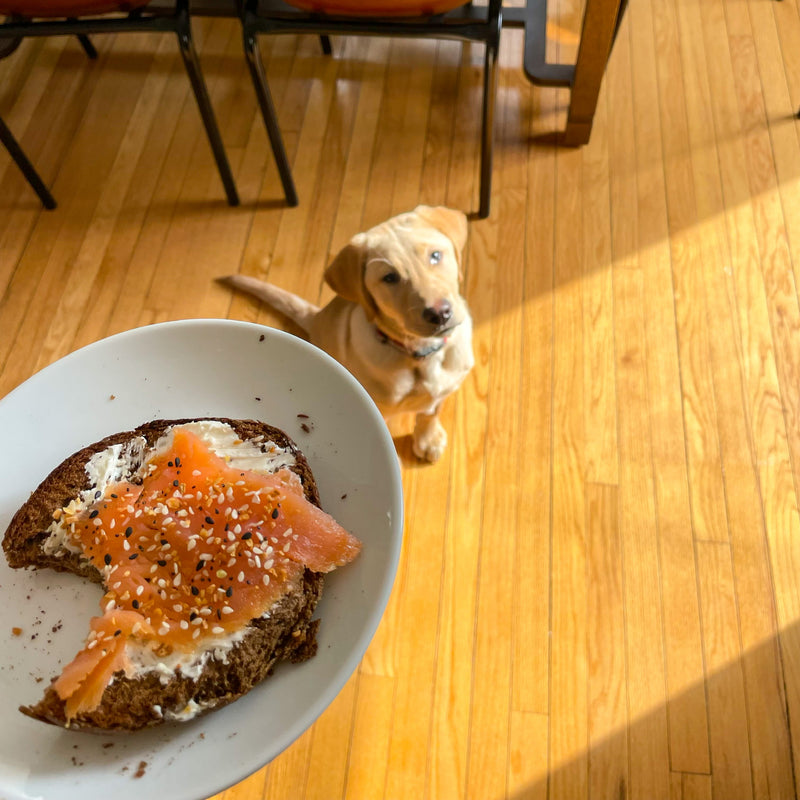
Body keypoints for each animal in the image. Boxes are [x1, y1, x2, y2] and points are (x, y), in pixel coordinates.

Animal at [219, 205, 476, 462]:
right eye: (389, 277)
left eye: (435, 256)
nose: (439, 314)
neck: (420, 354)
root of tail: (317, 317)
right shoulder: (379, 412)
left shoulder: (446, 387)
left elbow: (431, 412)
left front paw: (429, 438)